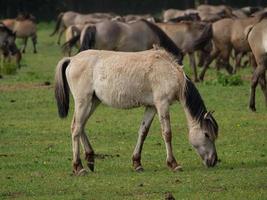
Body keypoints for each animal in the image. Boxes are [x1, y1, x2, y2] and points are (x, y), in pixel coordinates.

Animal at [54, 49, 220, 176]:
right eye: (207, 134)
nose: (213, 161)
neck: (169, 71)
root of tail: (72, 59)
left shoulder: (152, 107)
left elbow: (143, 132)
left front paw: (137, 163)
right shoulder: (162, 104)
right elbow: (167, 133)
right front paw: (173, 164)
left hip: (92, 102)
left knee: (80, 126)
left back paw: (90, 159)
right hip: (83, 101)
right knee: (76, 128)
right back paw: (79, 167)